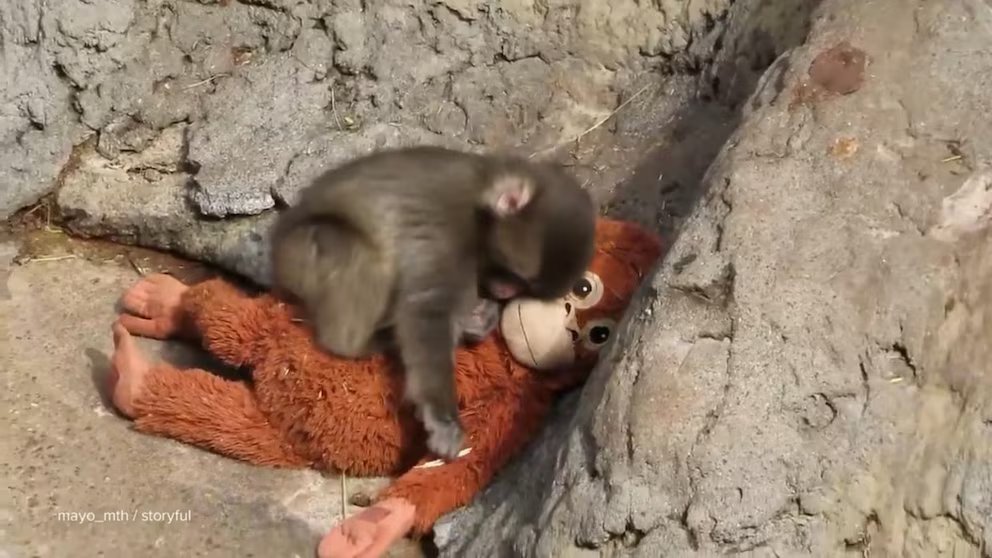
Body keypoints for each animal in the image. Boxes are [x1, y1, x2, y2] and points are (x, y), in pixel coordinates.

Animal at [269, 145, 596, 460]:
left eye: (524, 287)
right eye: (516, 276)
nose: (504, 292)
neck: (480, 201)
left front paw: (480, 319)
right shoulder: (450, 231)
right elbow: (427, 308)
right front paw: (443, 419)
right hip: (303, 253)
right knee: (359, 256)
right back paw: (363, 343)